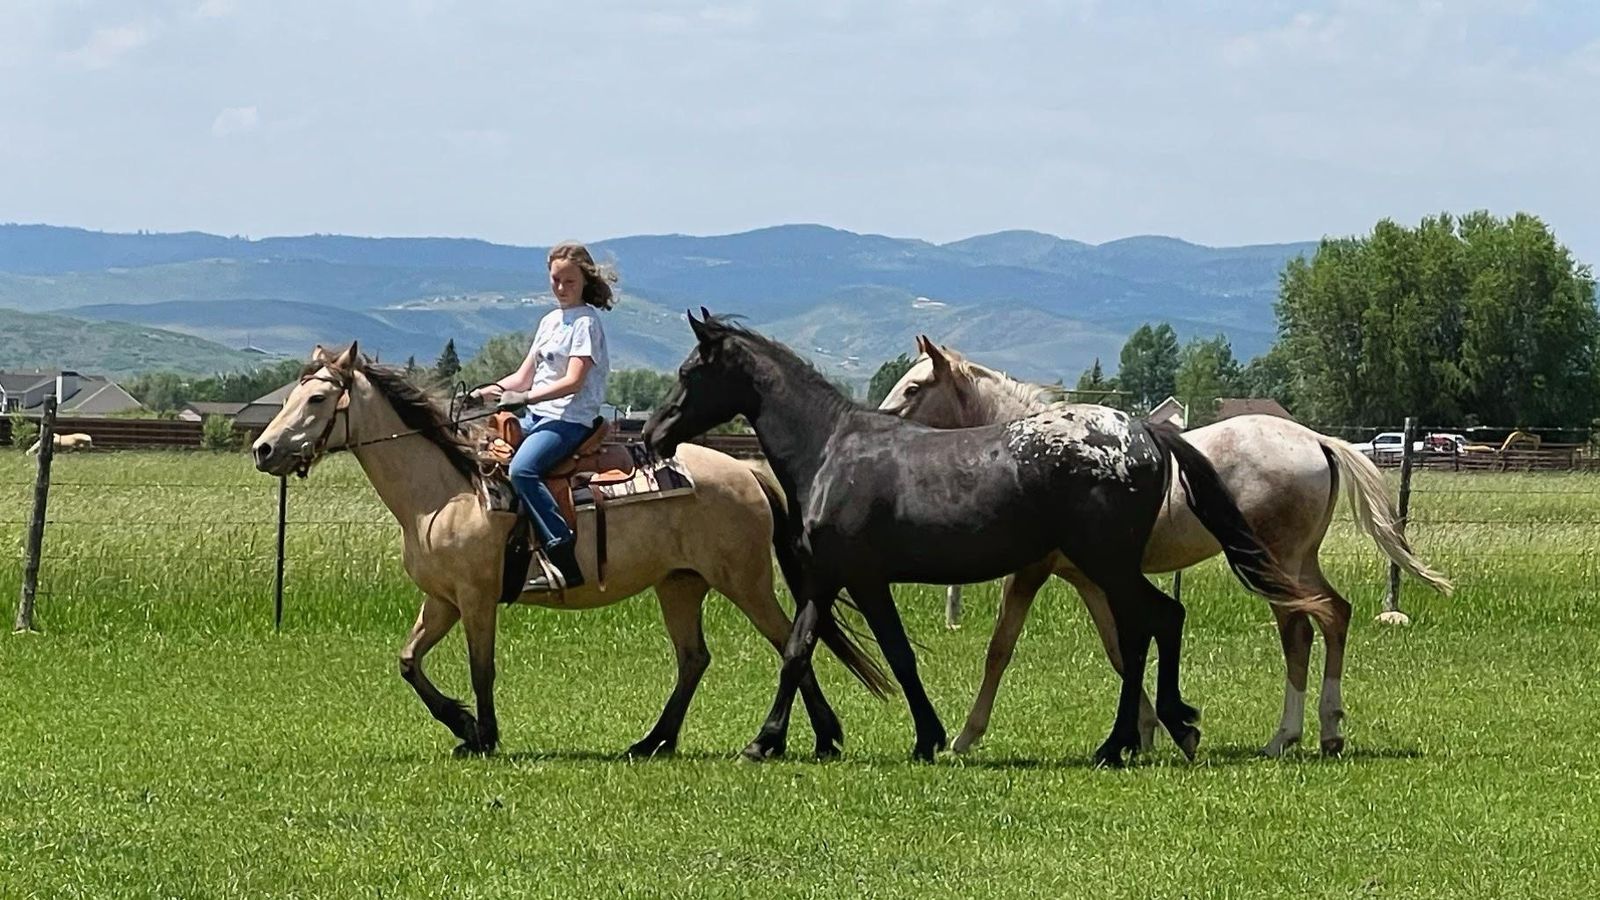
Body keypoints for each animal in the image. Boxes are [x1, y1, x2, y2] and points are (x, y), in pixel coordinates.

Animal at [250, 342, 891, 759]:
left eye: (315, 401)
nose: (262, 449)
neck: (449, 492)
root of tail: (748, 472)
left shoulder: (476, 598)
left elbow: (482, 668)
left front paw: (483, 736)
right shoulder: (442, 600)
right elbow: (409, 662)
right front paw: (461, 724)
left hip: (745, 582)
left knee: (789, 641)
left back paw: (815, 738)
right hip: (679, 584)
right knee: (694, 659)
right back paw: (654, 741)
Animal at [643, 311, 1320, 766]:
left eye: (688, 371)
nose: (652, 434)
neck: (833, 450)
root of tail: (1145, 434)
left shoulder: (857, 577)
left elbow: (875, 654)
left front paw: (768, 742)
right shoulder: (835, 578)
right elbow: (808, 649)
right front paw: (921, 738)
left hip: (1109, 564)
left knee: (1156, 624)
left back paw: (1124, 742)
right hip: (1109, 569)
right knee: (1150, 628)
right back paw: (1154, 734)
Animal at [878, 337, 1454, 756]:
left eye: (913, 388)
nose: (880, 427)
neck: (1037, 454)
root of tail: (1317, 440)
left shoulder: (1034, 572)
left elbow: (1001, 648)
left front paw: (965, 737)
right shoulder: (1089, 579)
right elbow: (1117, 647)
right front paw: (1151, 731)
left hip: (1274, 565)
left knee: (1302, 631)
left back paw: (1291, 736)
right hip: (1296, 564)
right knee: (1330, 617)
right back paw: (1321, 734)